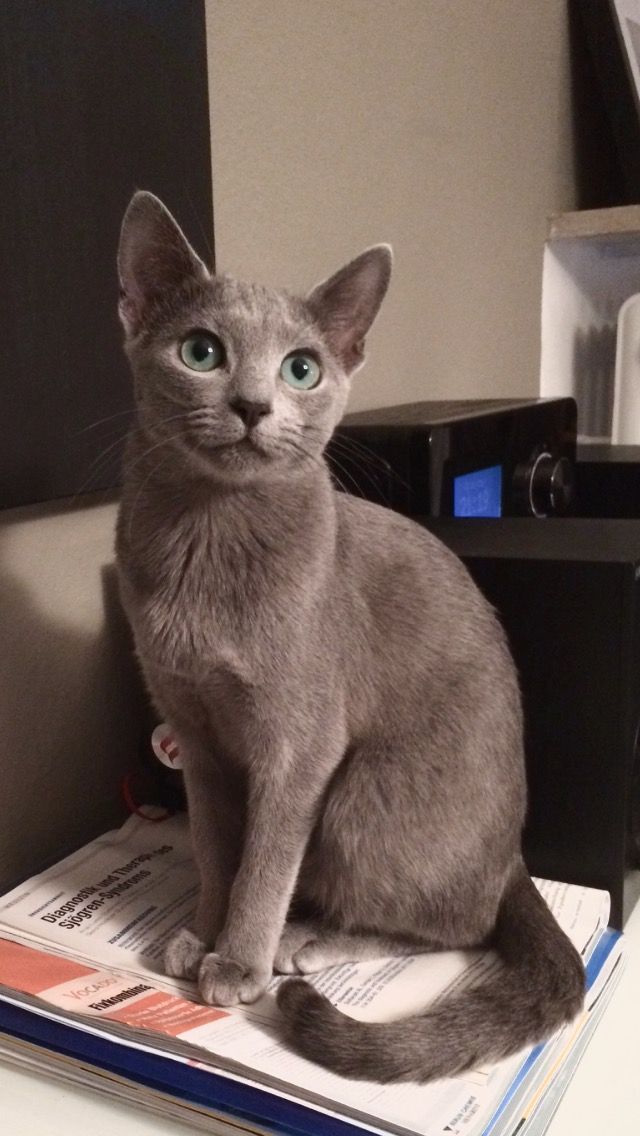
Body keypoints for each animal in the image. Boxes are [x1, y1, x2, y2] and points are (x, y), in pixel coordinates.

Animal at [115, 190, 586, 1076]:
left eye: (301, 368)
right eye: (201, 351)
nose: (253, 405)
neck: (209, 538)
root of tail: (514, 861)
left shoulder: (300, 744)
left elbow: (265, 861)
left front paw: (238, 959)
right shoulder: (195, 729)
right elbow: (216, 844)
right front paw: (199, 930)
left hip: (365, 795)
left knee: (455, 926)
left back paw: (306, 943)